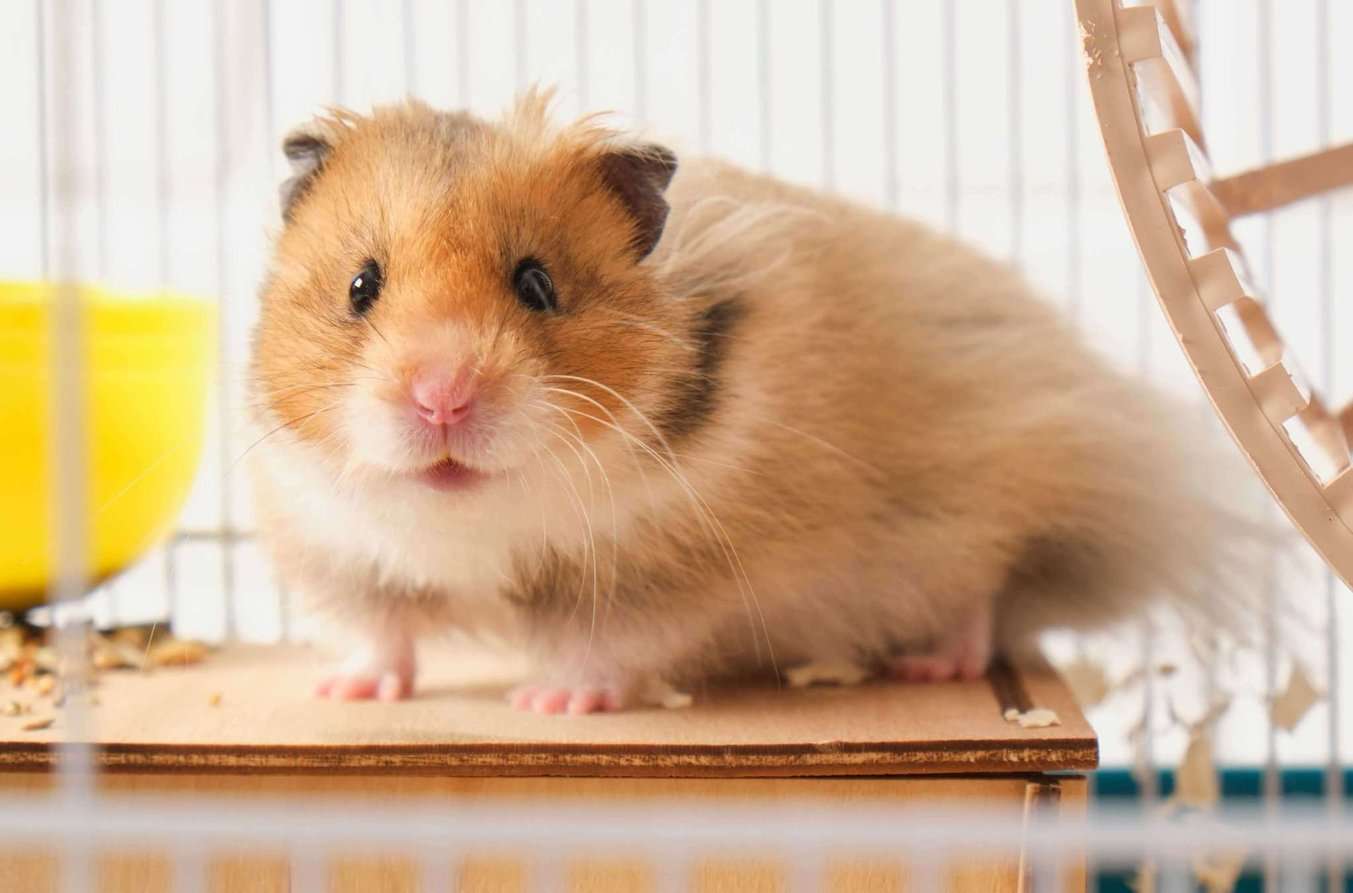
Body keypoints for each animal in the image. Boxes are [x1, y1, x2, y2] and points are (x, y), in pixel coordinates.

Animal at [248, 93, 1243, 713]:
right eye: (361, 285)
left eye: (537, 285)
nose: (441, 399)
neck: (474, 518)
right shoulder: (348, 552)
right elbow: (383, 632)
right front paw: (345, 691)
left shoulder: (657, 577)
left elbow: (600, 644)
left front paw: (551, 700)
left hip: (969, 513)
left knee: (986, 594)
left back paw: (935, 660)